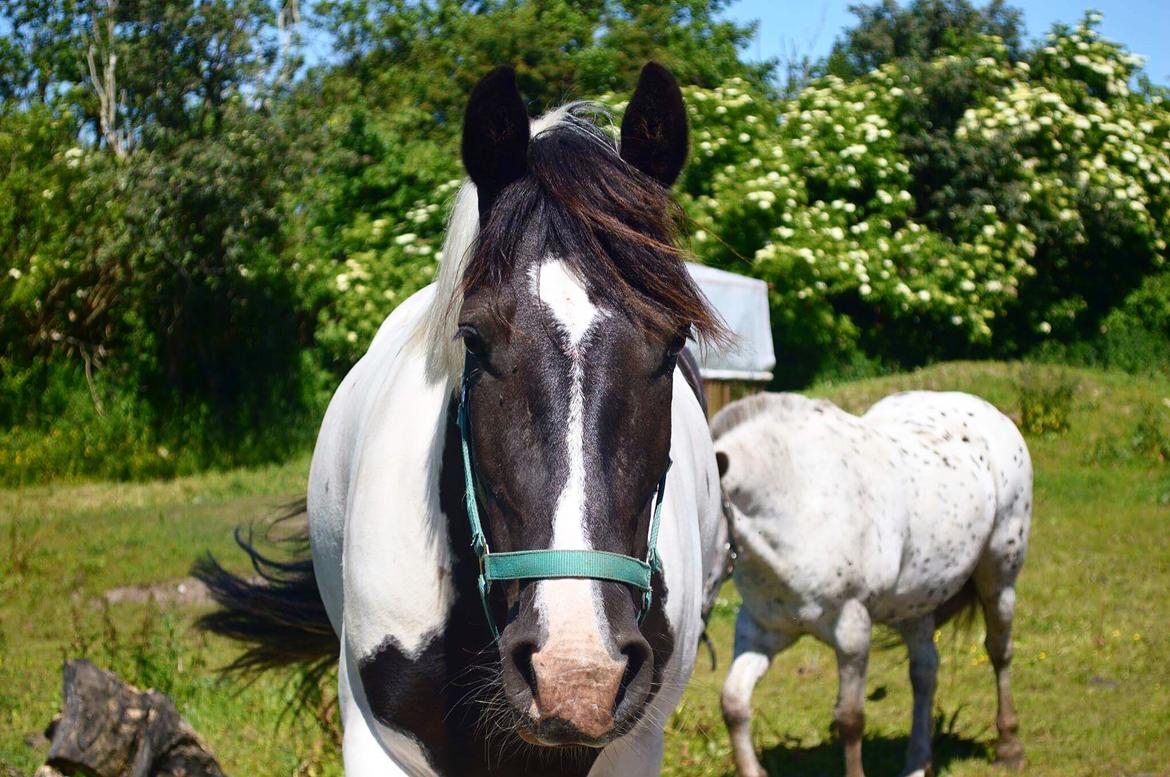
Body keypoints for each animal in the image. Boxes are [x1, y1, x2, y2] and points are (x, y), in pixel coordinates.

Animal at [706, 390, 1029, 777]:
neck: (797, 499)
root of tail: (993, 414)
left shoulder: (852, 627)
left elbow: (850, 718)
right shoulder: (762, 629)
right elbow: (733, 702)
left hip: (999, 576)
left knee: (999, 650)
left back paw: (1009, 746)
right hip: (916, 602)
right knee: (925, 672)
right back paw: (918, 763)